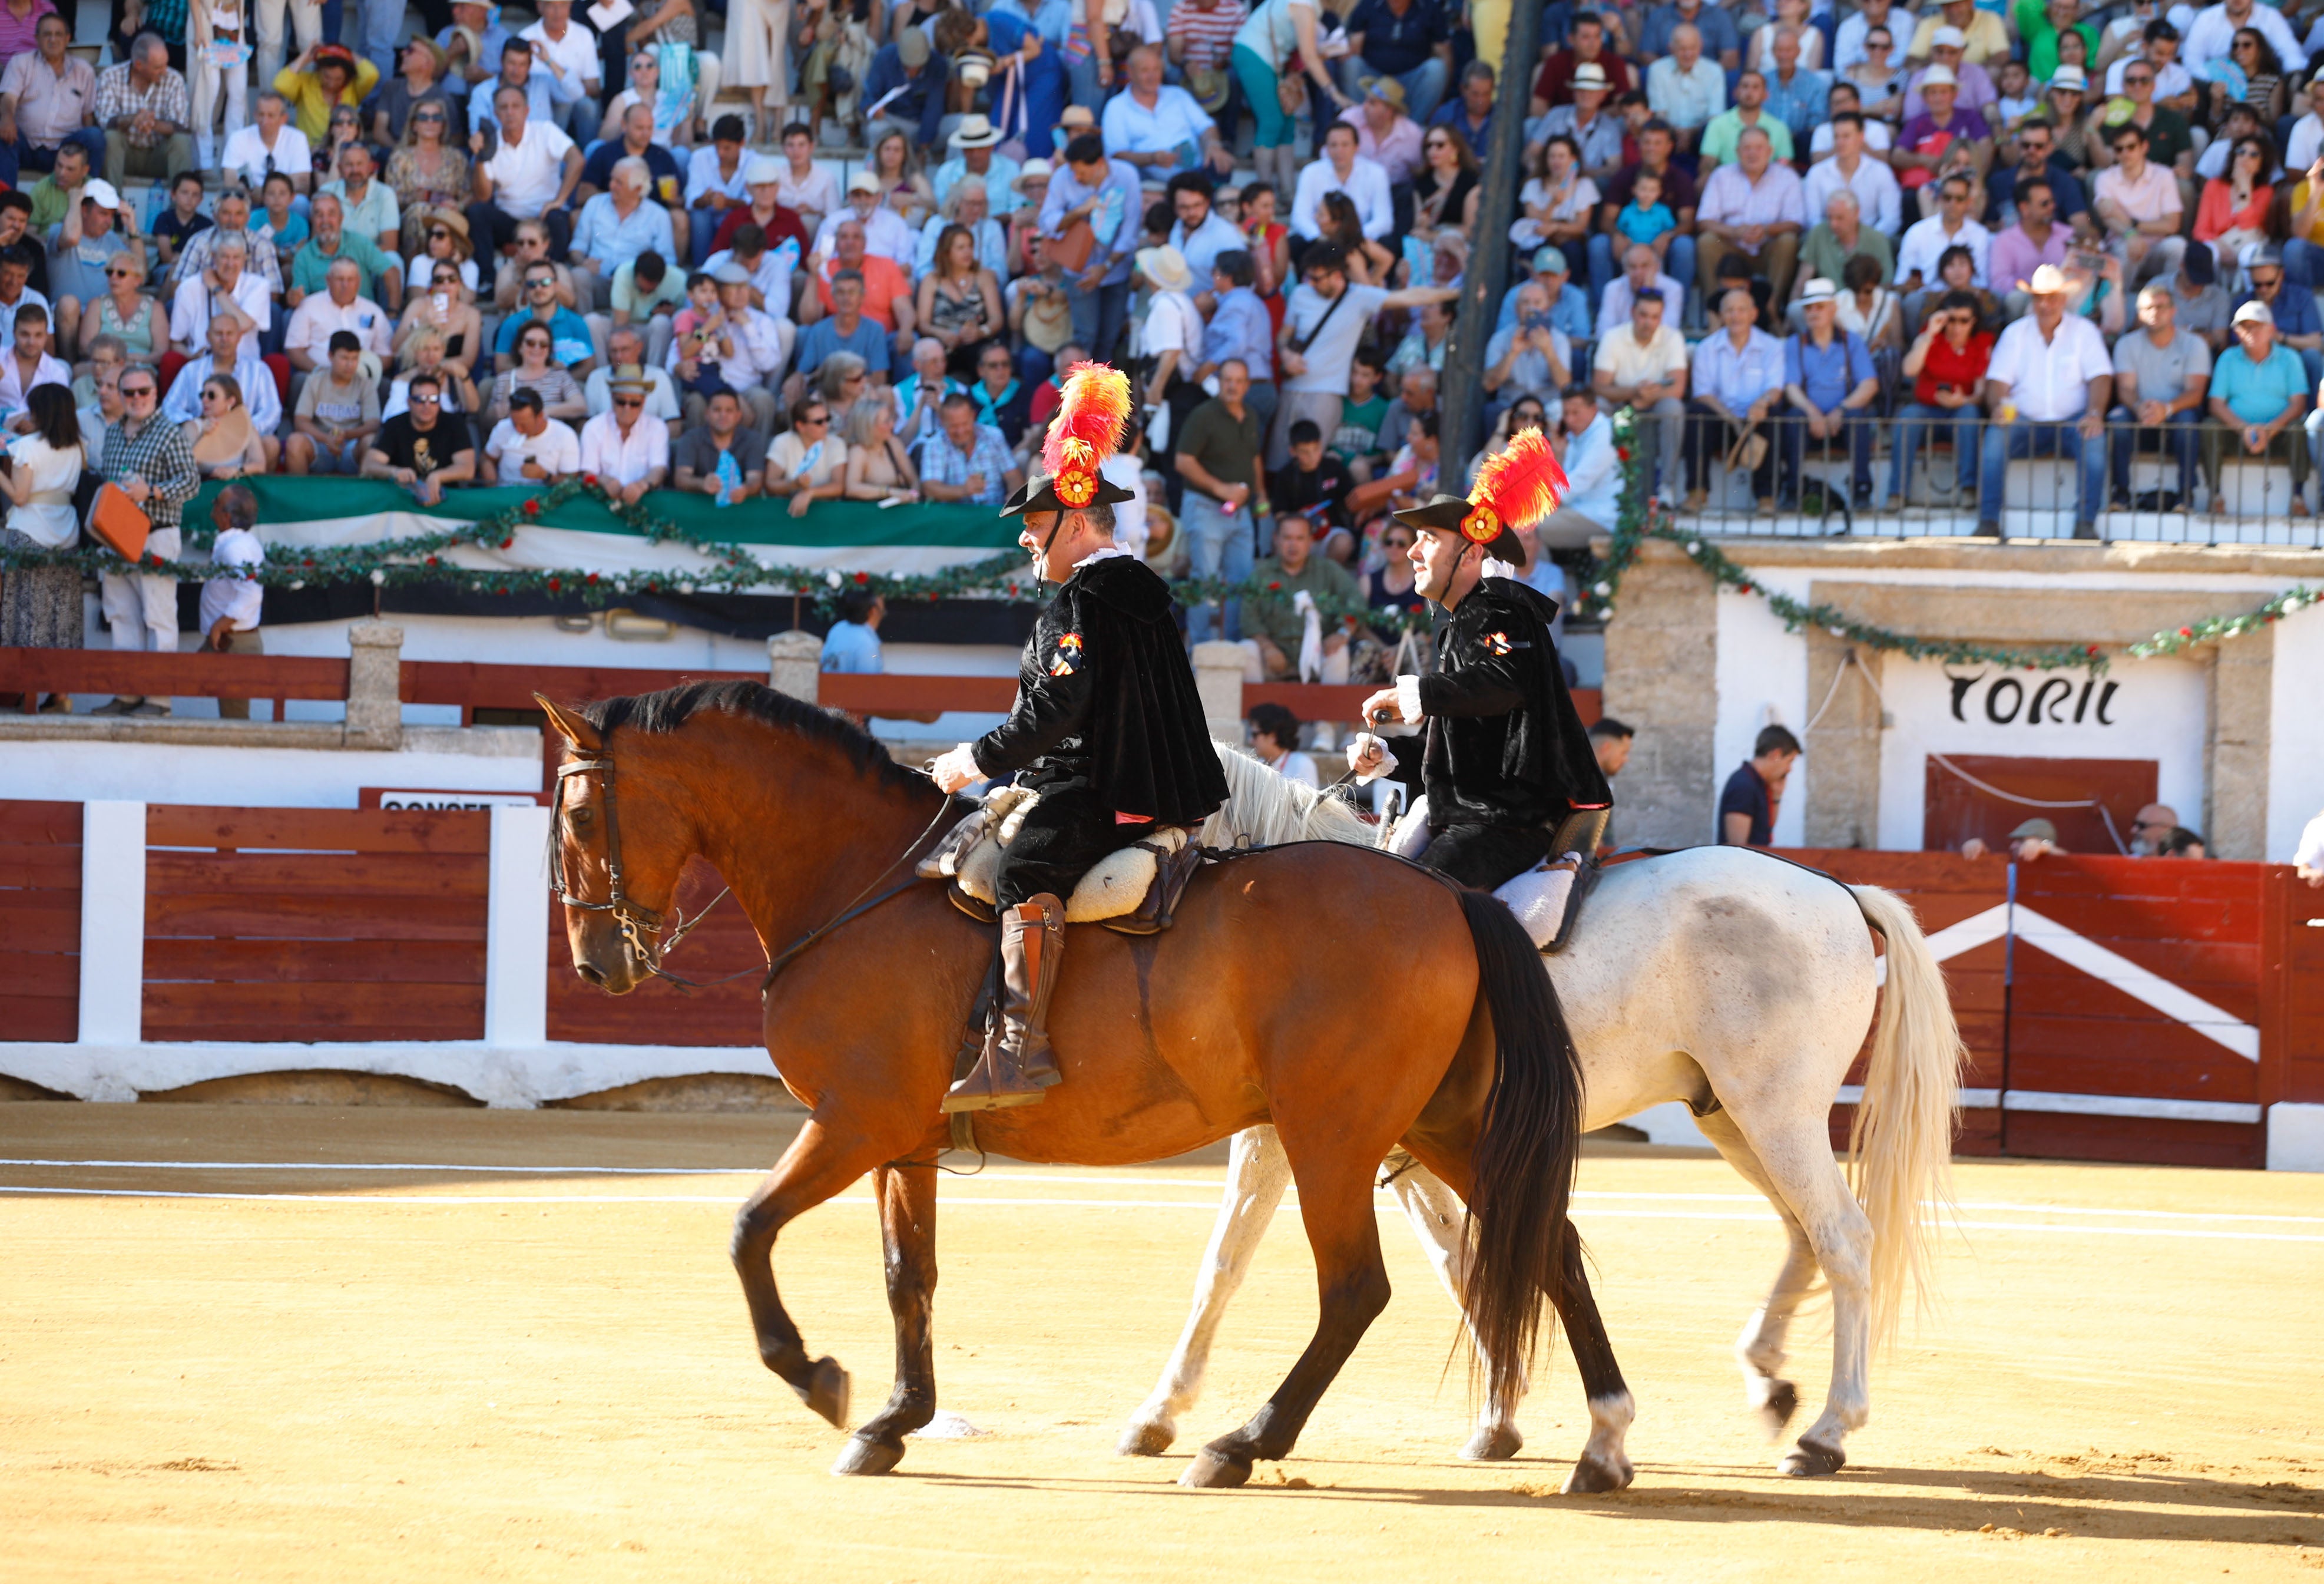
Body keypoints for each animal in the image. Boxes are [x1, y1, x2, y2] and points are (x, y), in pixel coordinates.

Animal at [544, 683, 1636, 1497]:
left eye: (581, 812)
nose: (597, 962)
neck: (860, 880)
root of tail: (1447, 897)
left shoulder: (852, 1121)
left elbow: (748, 1226)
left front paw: (818, 1379)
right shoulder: (904, 1140)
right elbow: (909, 1275)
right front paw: (895, 1420)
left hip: (1332, 1133)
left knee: (1358, 1286)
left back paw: (1241, 1442)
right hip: (1443, 1122)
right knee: (1550, 1244)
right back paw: (1602, 1442)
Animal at [1134, 749, 1971, 1479]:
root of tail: (1839, 890)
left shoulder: (1296, 1135)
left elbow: (1226, 1263)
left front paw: (1162, 1413)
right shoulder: (1401, 1149)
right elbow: (1457, 1259)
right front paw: (1498, 1421)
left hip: (1778, 1112)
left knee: (1844, 1238)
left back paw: (1826, 1433)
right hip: (1733, 1118)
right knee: (1804, 1232)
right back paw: (1769, 1380)